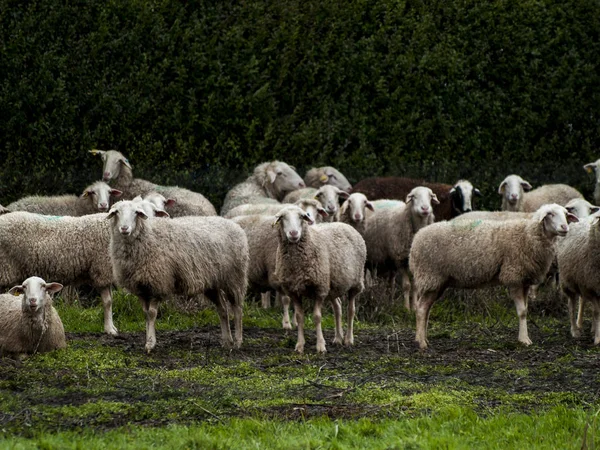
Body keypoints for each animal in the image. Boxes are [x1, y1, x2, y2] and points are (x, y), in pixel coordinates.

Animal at [108, 200, 248, 352]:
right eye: (116, 212)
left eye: (136, 213)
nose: (124, 228)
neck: (149, 234)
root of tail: (235, 225)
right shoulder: (141, 287)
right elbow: (145, 313)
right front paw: (148, 340)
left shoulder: (159, 283)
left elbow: (151, 313)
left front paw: (150, 343)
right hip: (212, 283)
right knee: (222, 309)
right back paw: (227, 341)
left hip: (234, 278)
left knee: (237, 309)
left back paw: (238, 341)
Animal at [274, 206, 366, 354]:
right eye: (282, 218)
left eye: (301, 217)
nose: (293, 233)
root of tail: (344, 224)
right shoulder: (294, 291)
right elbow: (299, 317)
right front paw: (299, 345)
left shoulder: (319, 288)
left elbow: (317, 317)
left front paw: (320, 346)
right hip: (333, 285)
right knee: (338, 308)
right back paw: (338, 338)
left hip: (355, 283)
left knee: (351, 310)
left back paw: (348, 339)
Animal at [410, 203, 580, 348]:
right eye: (550, 214)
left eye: (566, 214)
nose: (564, 227)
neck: (528, 234)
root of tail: (415, 241)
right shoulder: (513, 275)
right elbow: (522, 312)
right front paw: (524, 340)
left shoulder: (524, 280)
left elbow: (525, 310)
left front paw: (524, 337)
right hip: (430, 276)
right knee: (421, 309)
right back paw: (422, 344)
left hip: (437, 282)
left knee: (425, 308)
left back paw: (422, 338)